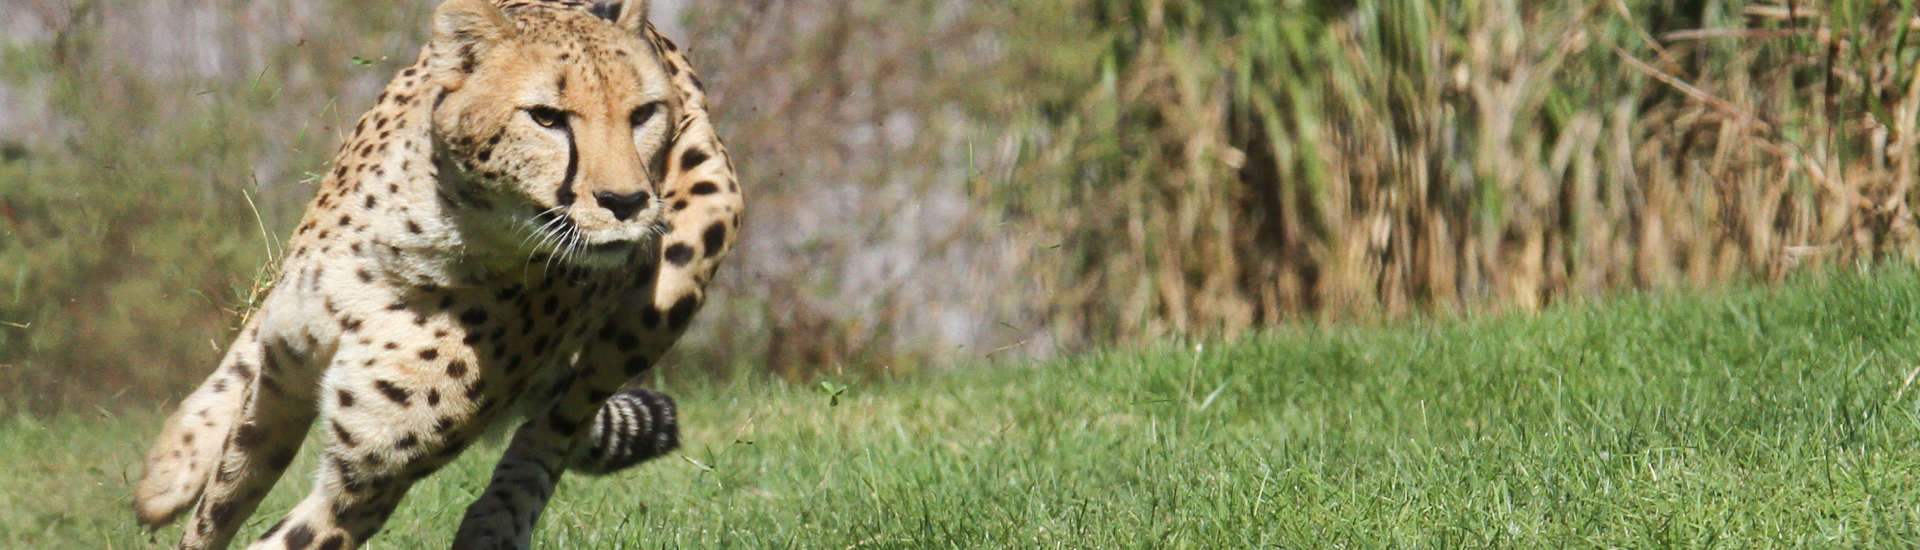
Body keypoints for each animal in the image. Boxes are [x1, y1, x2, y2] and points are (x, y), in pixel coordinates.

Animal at [130, 0, 742, 547]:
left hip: (682, 265)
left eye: (643, 114)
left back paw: (497, 522)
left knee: (567, 414)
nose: (627, 201)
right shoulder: (280, 392)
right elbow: (214, 513)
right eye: (546, 116)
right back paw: (170, 468)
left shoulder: (363, 485)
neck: (423, 241)